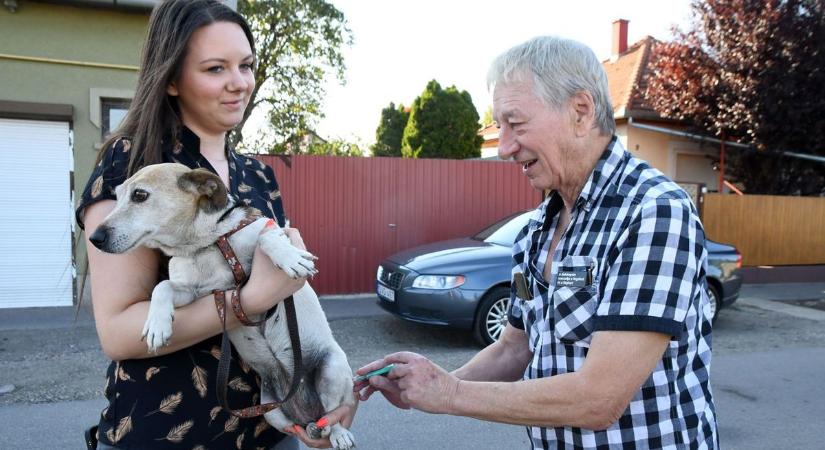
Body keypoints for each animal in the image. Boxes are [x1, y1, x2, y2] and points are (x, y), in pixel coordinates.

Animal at [89, 163, 358, 450]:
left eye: (139, 195)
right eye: (116, 196)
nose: (95, 238)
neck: (207, 244)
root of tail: (306, 407)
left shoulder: (272, 229)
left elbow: (268, 238)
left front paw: (289, 257)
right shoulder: (195, 293)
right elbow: (162, 287)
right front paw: (156, 325)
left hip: (332, 369)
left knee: (333, 414)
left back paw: (338, 433)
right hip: (271, 410)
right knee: (302, 424)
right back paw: (314, 427)